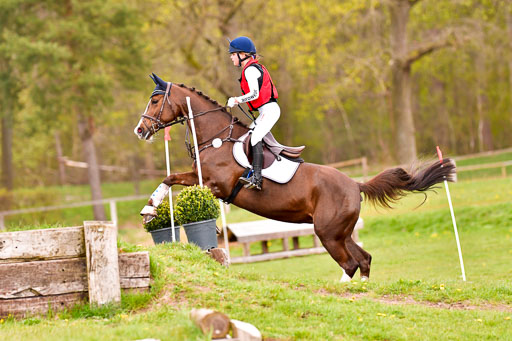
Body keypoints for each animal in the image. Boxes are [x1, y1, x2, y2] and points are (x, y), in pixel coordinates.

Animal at [133, 74, 456, 282]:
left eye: (155, 101)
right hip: (340, 232)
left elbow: (176, 181)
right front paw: (150, 212)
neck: (216, 138)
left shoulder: (216, 185)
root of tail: (355, 184)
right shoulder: (202, 179)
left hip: (328, 233)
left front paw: (154, 212)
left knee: (351, 263)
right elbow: (170, 178)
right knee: (363, 259)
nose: (140, 130)